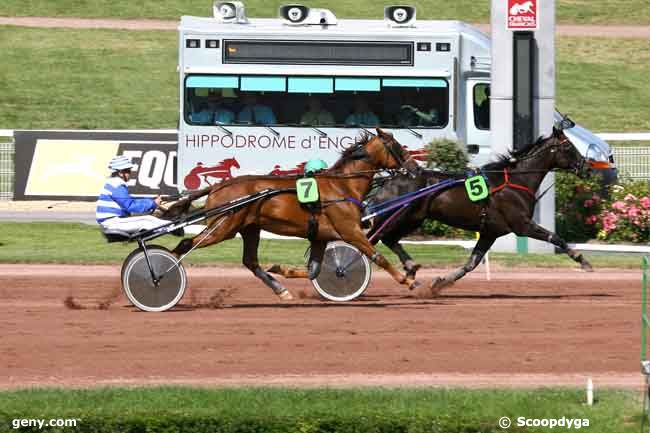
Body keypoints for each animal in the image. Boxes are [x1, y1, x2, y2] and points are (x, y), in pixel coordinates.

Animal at [167, 126, 418, 298]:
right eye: (397, 146)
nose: (415, 167)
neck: (342, 186)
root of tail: (218, 186)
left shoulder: (320, 237)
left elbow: (314, 270)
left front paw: (282, 269)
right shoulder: (350, 231)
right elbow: (378, 257)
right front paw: (408, 280)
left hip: (250, 228)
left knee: (251, 261)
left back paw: (280, 289)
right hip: (223, 228)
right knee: (186, 244)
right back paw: (166, 273)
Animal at [368, 125, 612, 294]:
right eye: (569, 147)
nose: (588, 168)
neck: (515, 181)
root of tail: (390, 179)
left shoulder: (490, 232)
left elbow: (471, 264)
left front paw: (439, 283)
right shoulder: (521, 224)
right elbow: (556, 237)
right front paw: (582, 260)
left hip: (412, 219)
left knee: (388, 239)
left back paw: (410, 267)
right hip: (399, 217)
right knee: (374, 239)